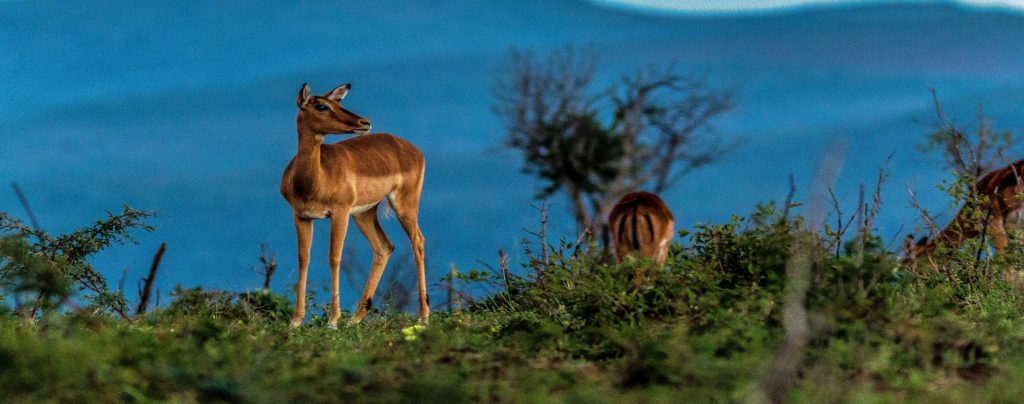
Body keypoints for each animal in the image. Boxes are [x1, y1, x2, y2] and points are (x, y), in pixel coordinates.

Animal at [281, 83, 429, 328]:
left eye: (338, 103)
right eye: (321, 105)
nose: (364, 122)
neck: (314, 179)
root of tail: (413, 149)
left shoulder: (339, 213)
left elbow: (334, 258)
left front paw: (332, 321)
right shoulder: (301, 215)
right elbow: (303, 258)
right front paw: (296, 321)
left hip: (404, 205)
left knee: (417, 241)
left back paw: (423, 316)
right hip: (364, 214)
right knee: (384, 247)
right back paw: (356, 318)